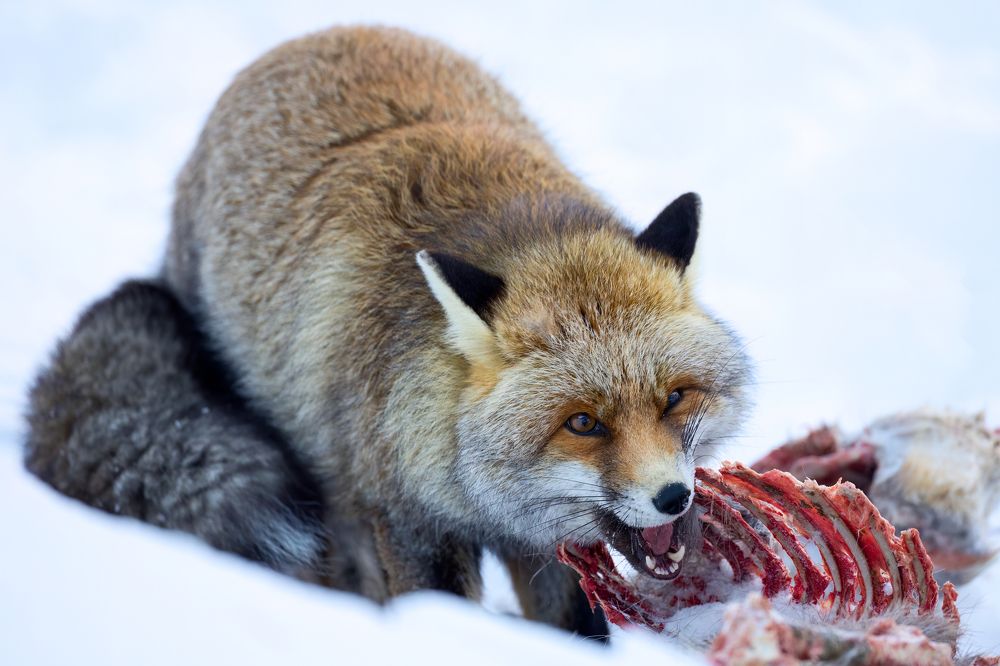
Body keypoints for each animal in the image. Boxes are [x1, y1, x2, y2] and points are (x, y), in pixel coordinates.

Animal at [25, 25, 752, 638]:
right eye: (582, 423)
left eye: (675, 398)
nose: (673, 497)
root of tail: (313, 35)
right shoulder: (406, 523)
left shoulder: (544, 547)